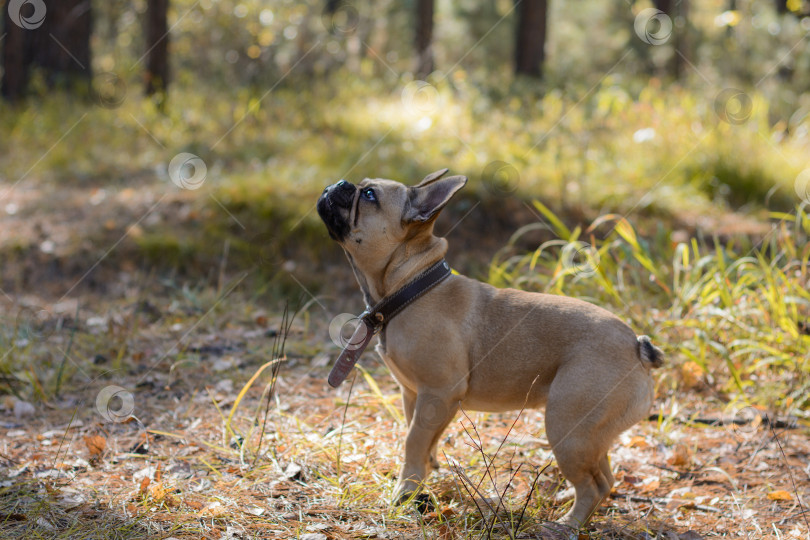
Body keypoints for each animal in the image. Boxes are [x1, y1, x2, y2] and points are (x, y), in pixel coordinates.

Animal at [316, 169, 664, 528]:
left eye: (369, 195)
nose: (339, 184)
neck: (411, 285)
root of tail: (636, 346)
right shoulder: (418, 397)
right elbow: (423, 439)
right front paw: (423, 478)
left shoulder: (438, 393)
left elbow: (412, 440)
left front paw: (405, 491)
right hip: (592, 434)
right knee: (604, 478)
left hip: (568, 428)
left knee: (592, 485)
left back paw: (565, 525)